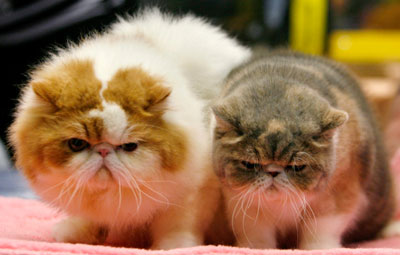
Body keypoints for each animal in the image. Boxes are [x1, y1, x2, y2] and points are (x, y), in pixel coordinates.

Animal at [9, 8, 250, 248]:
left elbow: (177, 227)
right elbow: (91, 219)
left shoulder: (192, 191)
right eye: (77, 144)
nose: (103, 150)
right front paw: (76, 234)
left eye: (130, 146)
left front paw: (172, 247)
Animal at [211, 49, 396, 249]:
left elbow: (321, 229)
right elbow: (257, 231)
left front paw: (320, 249)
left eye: (298, 167)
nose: (273, 172)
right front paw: (256, 248)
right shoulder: (243, 204)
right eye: (249, 164)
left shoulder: (336, 197)